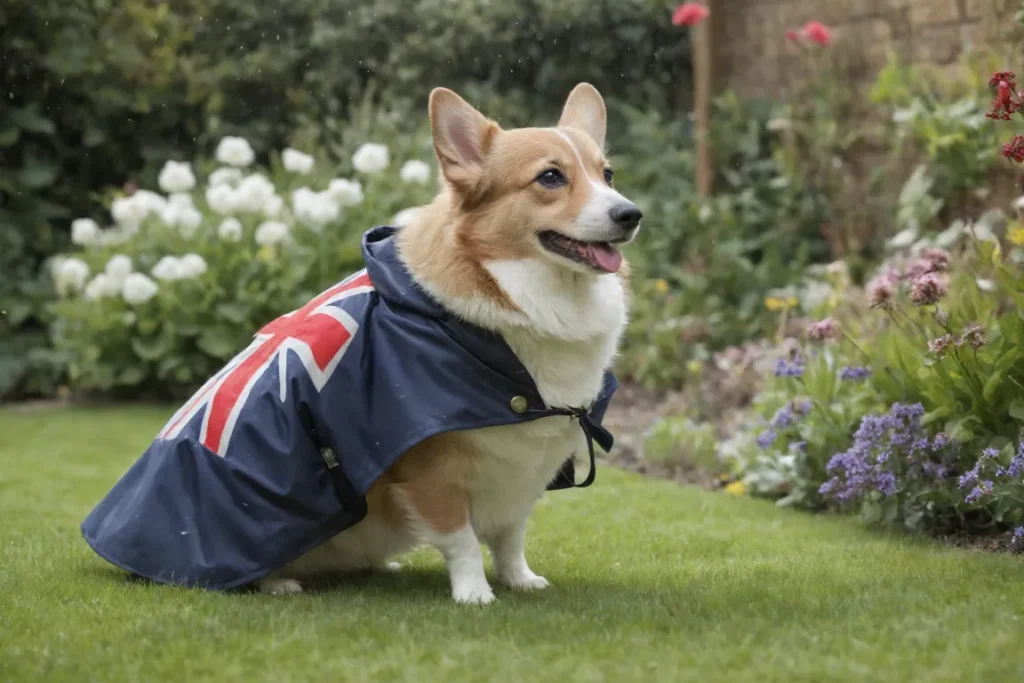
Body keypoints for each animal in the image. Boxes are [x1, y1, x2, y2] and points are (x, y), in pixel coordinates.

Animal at [258, 83, 638, 602]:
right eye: (551, 177)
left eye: (607, 174)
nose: (631, 214)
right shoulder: (431, 473)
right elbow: (461, 539)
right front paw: (474, 593)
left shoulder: (519, 479)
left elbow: (510, 536)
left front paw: (520, 579)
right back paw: (280, 582)